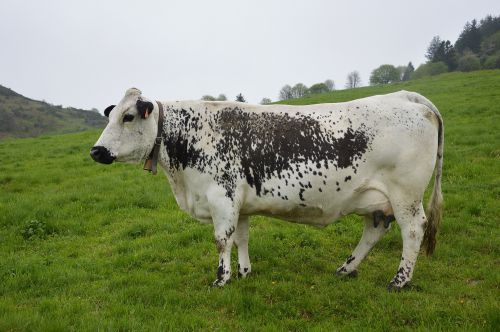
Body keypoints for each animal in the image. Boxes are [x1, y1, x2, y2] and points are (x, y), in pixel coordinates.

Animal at [92, 87, 444, 290]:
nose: (96, 151)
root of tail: (404, 96)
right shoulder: (239, 203)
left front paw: (222, 279)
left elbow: (222, 240)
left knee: (413, 230)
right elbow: (241, 238)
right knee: (374, 230)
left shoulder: (221, 198)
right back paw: (346, 269)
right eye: (112, 116)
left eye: (128, 116)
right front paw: (245, 272)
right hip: (375, 199)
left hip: (406, 195)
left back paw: (399, 281)